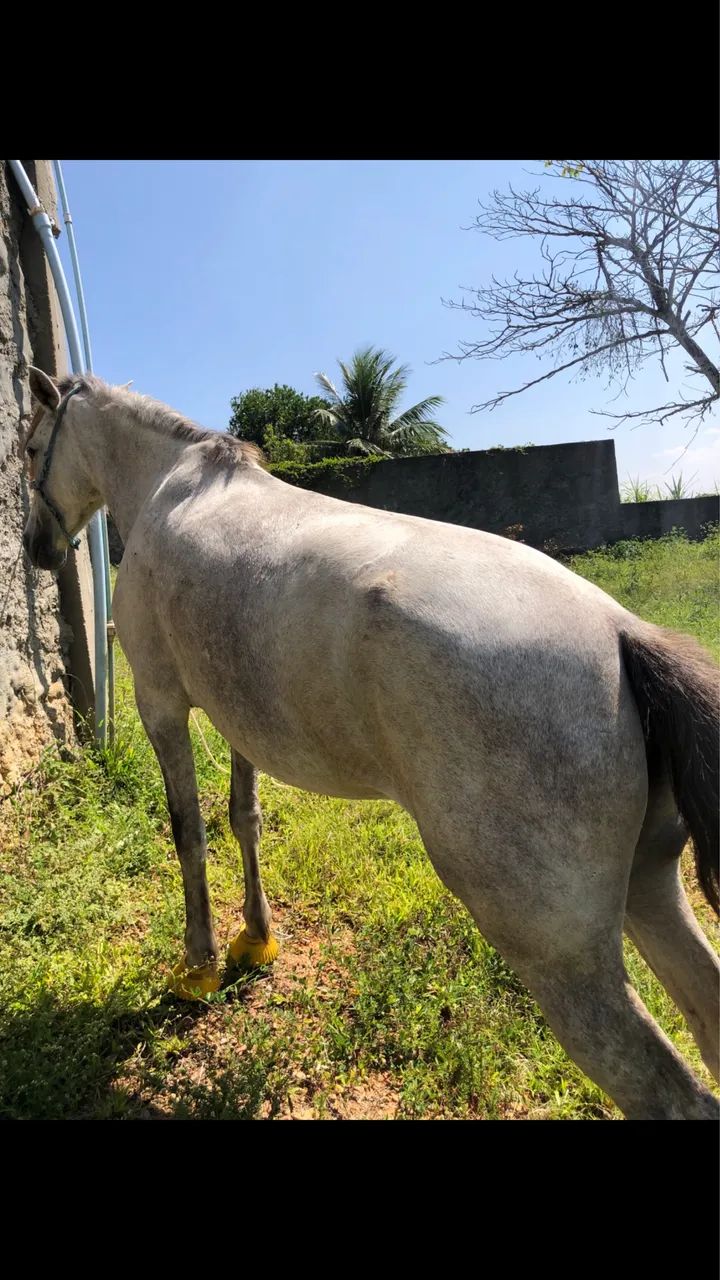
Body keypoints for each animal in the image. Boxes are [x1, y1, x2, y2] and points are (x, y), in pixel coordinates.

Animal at [22, 367, 719, 1120]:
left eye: (30, 449)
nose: (36, 549)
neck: (168, 485)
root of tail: (622, 632)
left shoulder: (161, 703)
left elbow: (189, 834)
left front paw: (199, 965)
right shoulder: (238, 715)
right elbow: (244, 820)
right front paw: (255, 940)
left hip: (560, 952)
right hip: (651, 887)